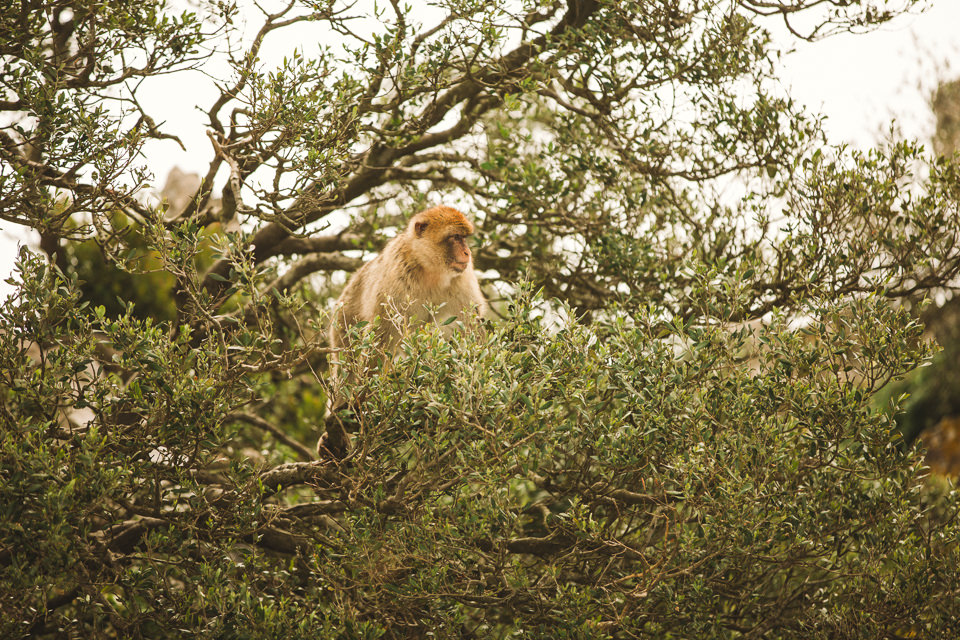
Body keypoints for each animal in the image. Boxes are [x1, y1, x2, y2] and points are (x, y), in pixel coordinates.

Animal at [320, 204, 488, 456]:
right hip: (343, 321)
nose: (467, 253)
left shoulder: (463, 282)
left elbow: (473, 333)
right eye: (455, 238)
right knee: (346, 367)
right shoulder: (395, 282)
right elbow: (381, 342)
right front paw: (359, 409)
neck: (430, 270)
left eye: (464, 238)